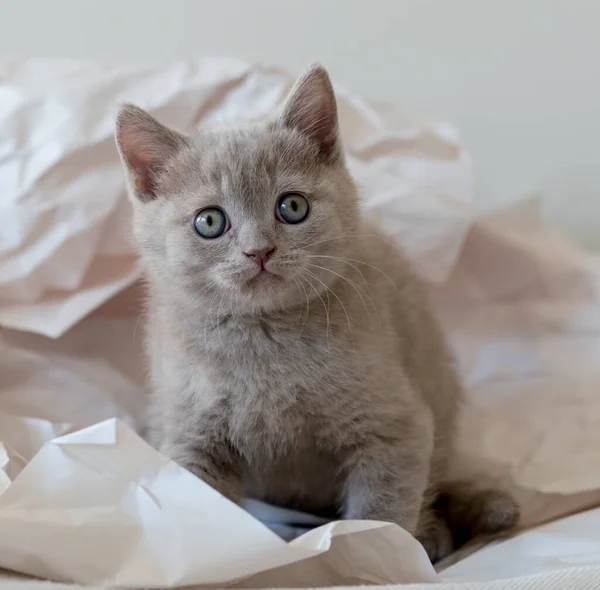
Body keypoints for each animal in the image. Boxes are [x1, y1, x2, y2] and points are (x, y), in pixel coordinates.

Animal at [115, 62, 516, 560]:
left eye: (292, 206)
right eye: (209, 221)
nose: (259, 251)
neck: (264, 340)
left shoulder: (395, 430)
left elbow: (383, 515)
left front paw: (380, 558)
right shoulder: (191, 435)